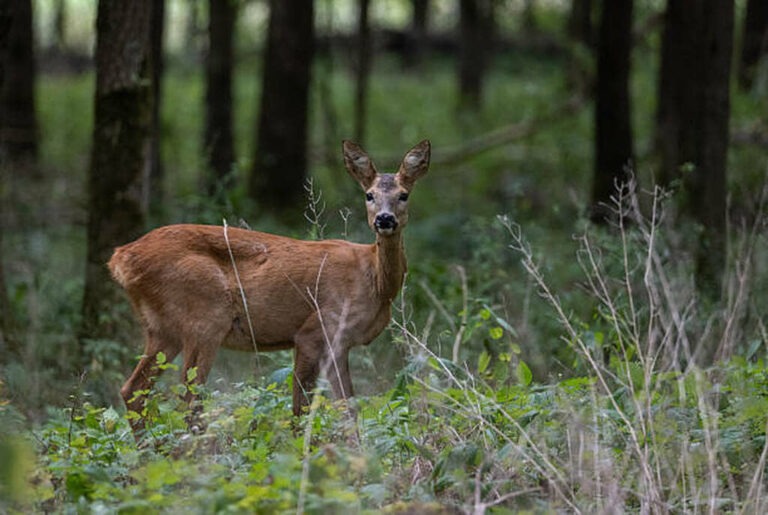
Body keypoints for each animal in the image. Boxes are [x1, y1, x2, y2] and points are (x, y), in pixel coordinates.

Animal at [109, 140, 430, 434]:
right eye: (369, 195)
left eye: (404, 195)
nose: (385, 219)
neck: (374, 281)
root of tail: (120, 258)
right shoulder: (314, 330)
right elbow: (301, 410)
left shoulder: (339, 344)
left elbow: (348, 408)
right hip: (205, 316)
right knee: (189, 397)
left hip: (163, 328)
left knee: (133, 390)